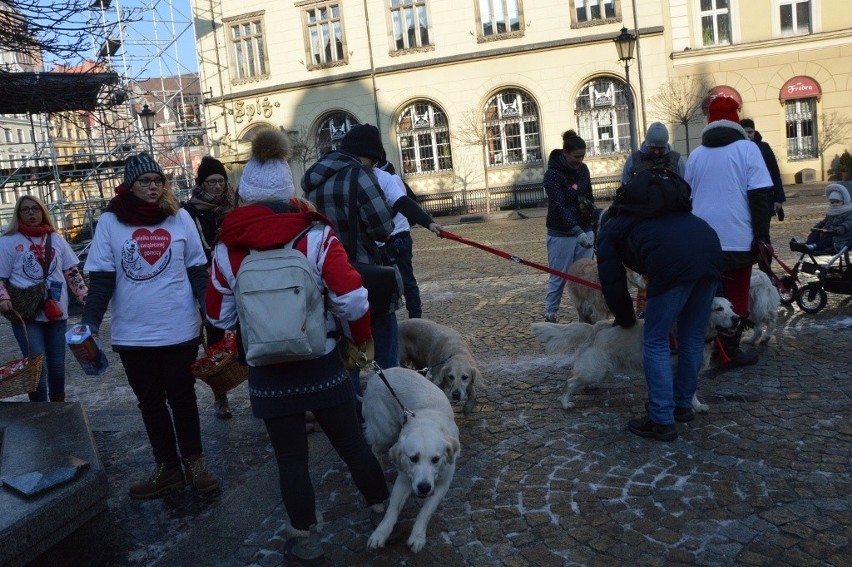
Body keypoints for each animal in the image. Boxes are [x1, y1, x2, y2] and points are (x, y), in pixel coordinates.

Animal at [362, 368, 462, 556]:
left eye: (436, 459)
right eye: (413, 458)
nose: (423, 487)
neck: (428, 422)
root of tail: (377, 373)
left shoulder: (443, 484)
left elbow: (425, 513)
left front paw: (417, 537)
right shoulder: (403, 478)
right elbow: (392, 509)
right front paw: (380, 533)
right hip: (386, 431)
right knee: (374, 448)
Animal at [532, 296, 740, 410]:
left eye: (731, 307)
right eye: (718, 309)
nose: (737, 318)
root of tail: (596, 326)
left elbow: (690, 391)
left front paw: (696, 406)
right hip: (594, 369)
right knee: (571, 382)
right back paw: (565, 402)